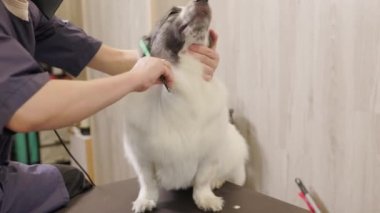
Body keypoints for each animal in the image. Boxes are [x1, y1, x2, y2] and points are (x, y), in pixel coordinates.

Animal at [122, 0, 249, 212]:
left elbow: (202, 180)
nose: (203, 1)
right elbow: (147, 182)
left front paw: (206, 199)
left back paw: (218, 181)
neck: (185, 80)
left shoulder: (209, 153)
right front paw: (145, 201)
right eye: (172, 12)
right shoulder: (141, 155)